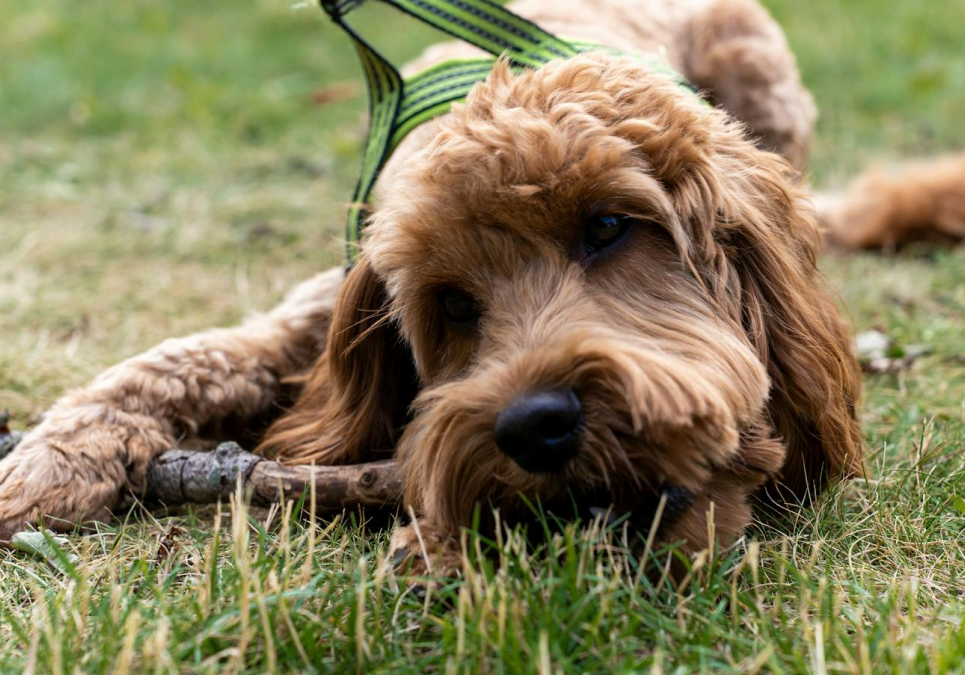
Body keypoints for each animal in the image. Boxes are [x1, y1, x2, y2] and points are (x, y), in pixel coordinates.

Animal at [1, 0, 964, 576]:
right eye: (452, 304)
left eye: (606, 227)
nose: (535, 424)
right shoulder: (322, 304)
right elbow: (173, 362)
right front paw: (46, 463)